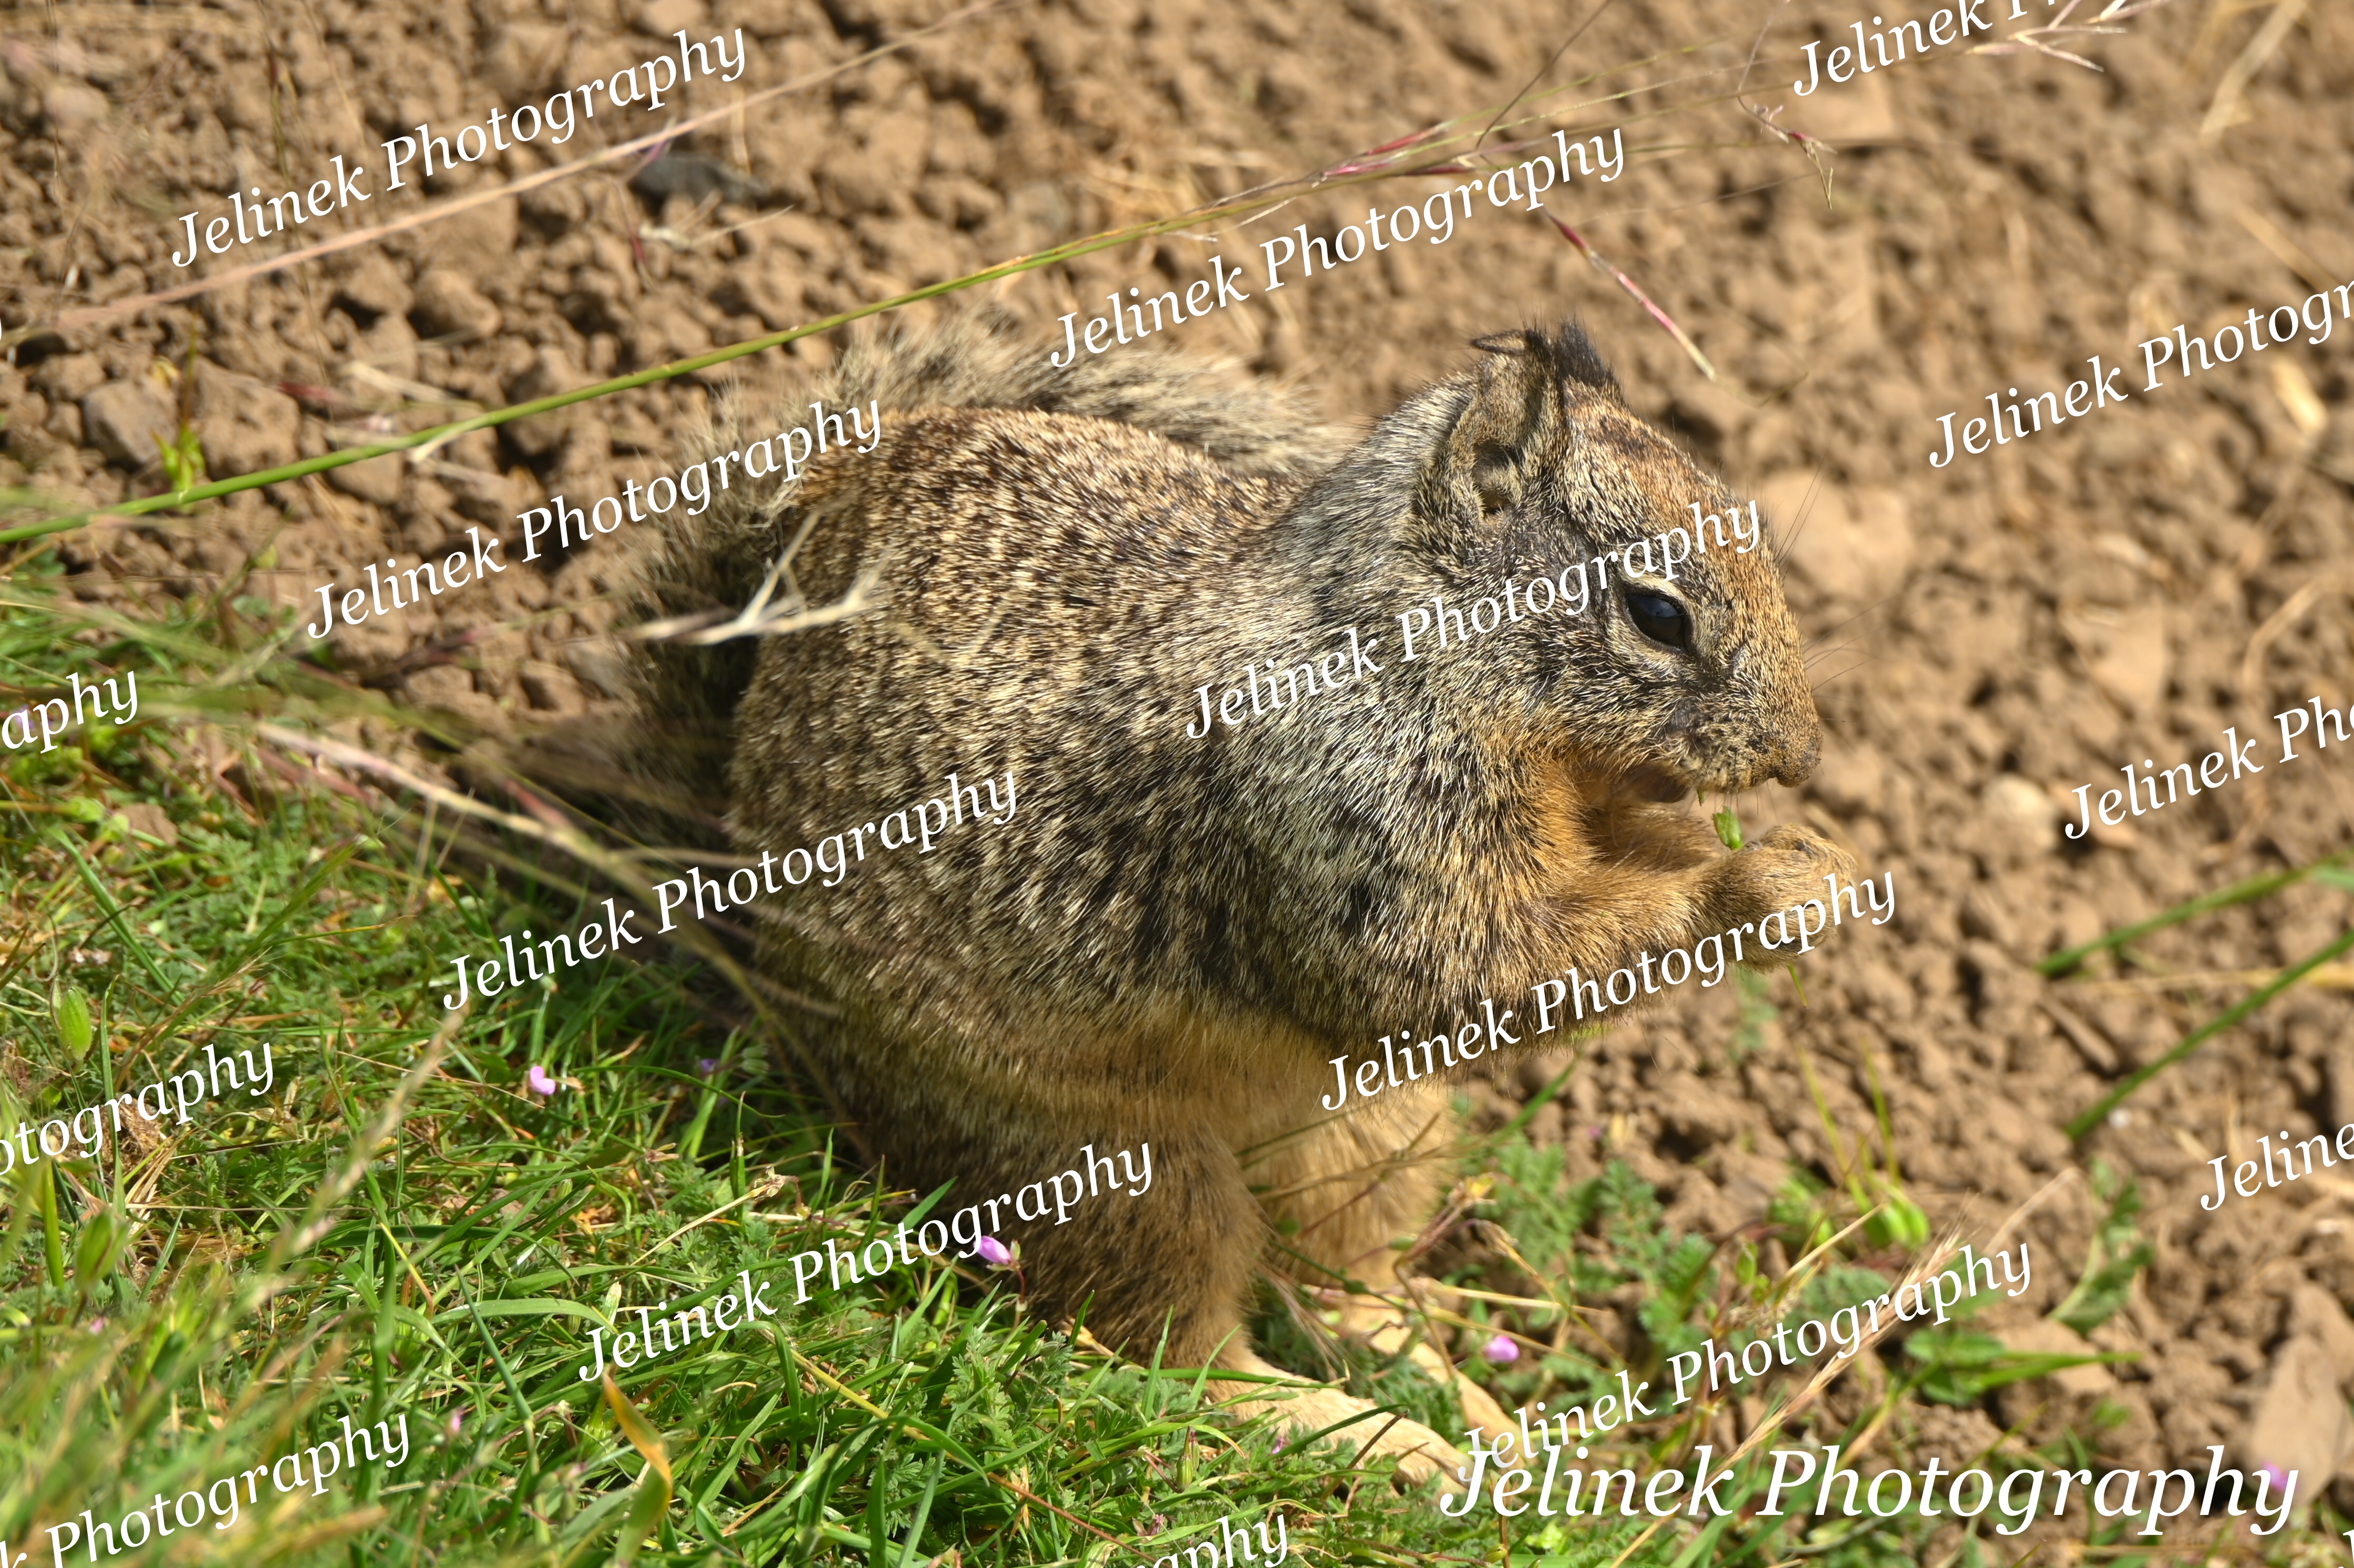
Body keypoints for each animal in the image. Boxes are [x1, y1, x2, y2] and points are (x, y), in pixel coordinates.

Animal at [604, 309, 1853, 1479]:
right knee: (1187, 1357)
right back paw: (1379, 1437)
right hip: (1111, 1169)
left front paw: (1779, 849)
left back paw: (1464, 1392)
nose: (1799, 753)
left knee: (1347, 1274)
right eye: (1656, 614)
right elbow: (1467, 973)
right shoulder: (1344, 825)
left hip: (1374, 1128)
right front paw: (1753, 888)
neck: (1411, 648)